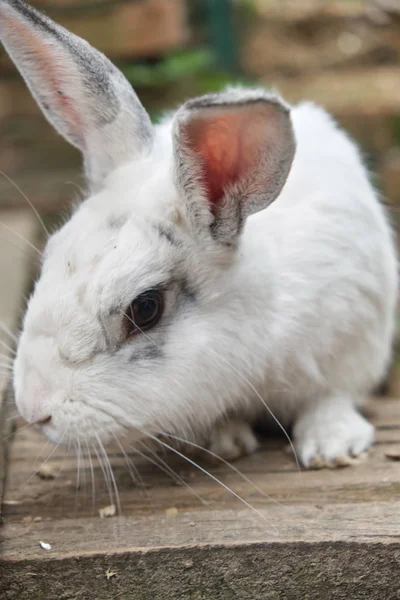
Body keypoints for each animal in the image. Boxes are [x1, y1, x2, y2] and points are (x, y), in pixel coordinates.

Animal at [2, 0, 396, 468]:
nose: (34, 408)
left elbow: (329, 398)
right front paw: (224, 442)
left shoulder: (348, 349)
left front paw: (331, 447)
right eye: (48, 257)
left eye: (145, 308)